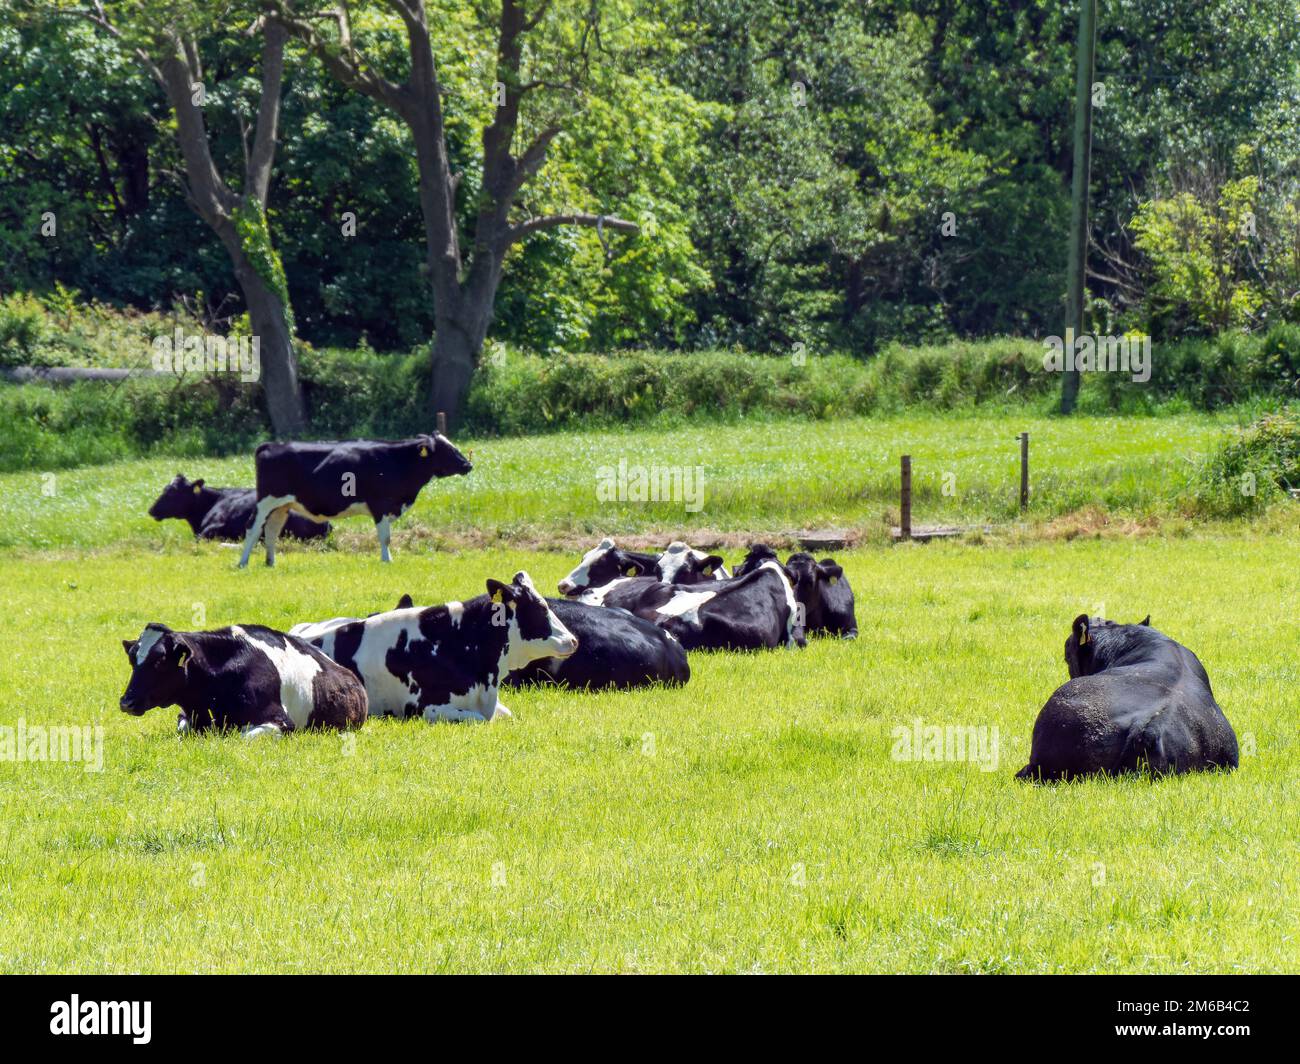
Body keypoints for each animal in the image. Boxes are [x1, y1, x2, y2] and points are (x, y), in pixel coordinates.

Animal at [238, 434, 471, 567]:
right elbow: (385, 538)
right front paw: (387, 560)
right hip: (266, 501)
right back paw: (243, 562)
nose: (468, 465)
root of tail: (269, 445)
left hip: (281, 506)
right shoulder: (380, 504)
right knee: (252, 528)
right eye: (446, 449)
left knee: (271, 531)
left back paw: (270, 563)